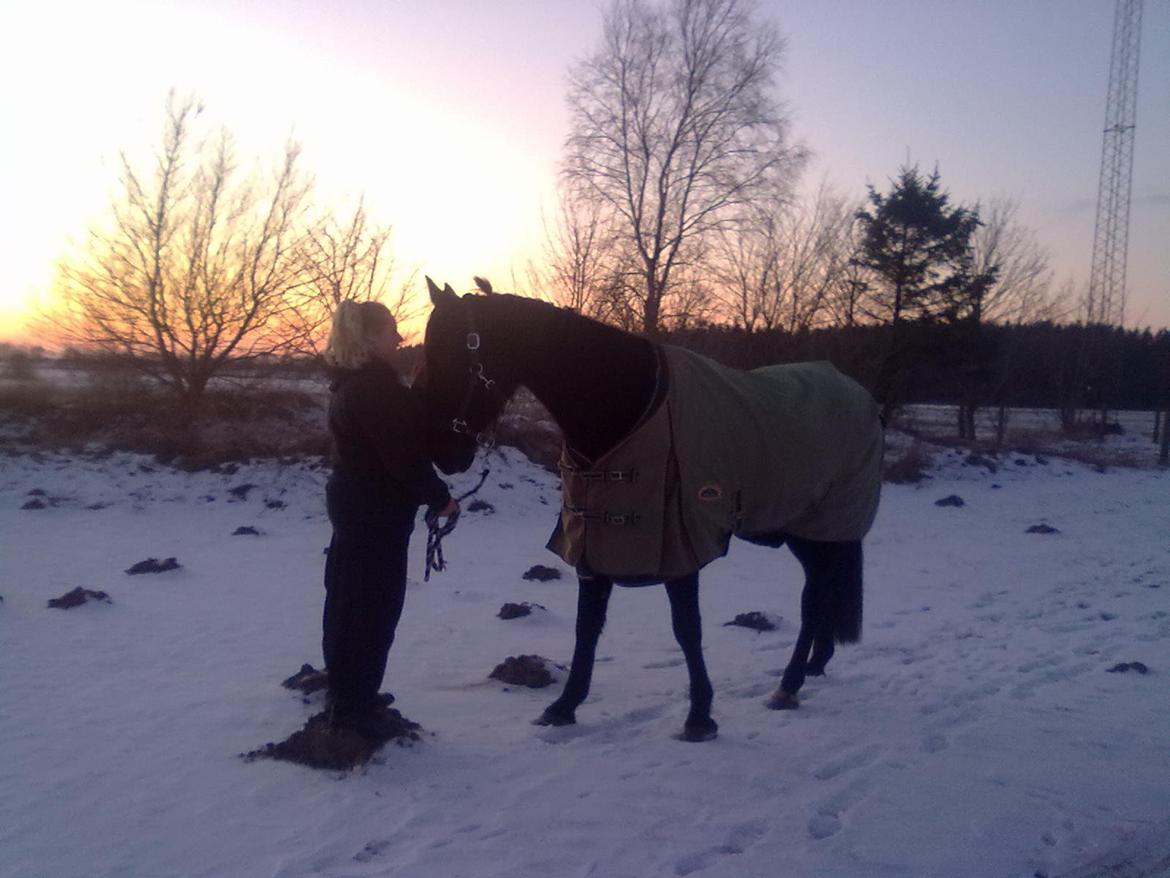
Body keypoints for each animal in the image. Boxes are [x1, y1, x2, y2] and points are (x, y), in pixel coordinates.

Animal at [421, 276, 879, 744]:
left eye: (457, 355)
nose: (443, 455)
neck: (624, 408)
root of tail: (857, 393)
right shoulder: (593, 543)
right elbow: (587, 626)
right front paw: (564, 706)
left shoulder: (679, 548)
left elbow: (687, 629)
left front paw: (699, 716)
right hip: (804, 533)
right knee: (819, 593)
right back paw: (812, 667)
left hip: (820, 531)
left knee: (813, 598)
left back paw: (789, 684)